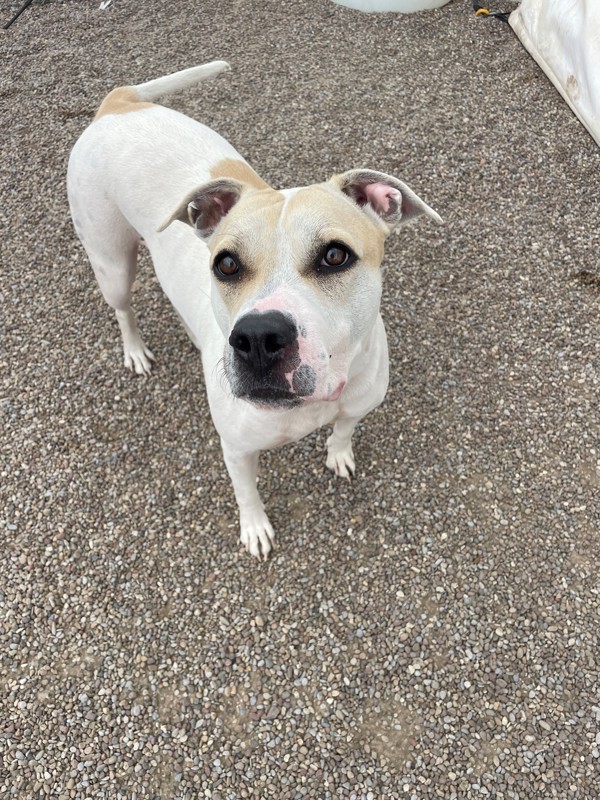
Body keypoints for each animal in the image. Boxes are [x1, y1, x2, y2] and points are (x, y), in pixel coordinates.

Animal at [68, 62, 442, 560]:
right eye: (226, 264)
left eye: (335, 256)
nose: (258, 338)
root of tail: (119, 104)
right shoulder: (237, 450)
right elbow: (246, 491)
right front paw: (255, 528)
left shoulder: (360, 402)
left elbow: (345, 429)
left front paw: (339, 452)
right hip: (111, 262)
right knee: (123, 308)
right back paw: (135, 351)